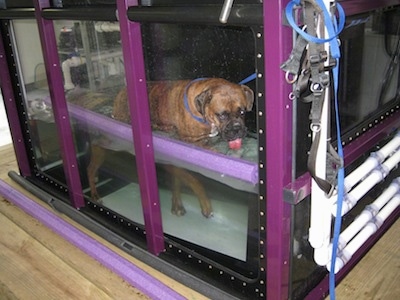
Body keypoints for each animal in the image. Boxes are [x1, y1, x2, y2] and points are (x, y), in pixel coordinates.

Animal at [89, 77, 255, 218]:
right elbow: (193, 179)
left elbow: (178, 179)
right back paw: (95, 192)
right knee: (90, 169)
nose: (237, 128)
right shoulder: (189, 145)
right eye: (222, 115)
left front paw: (177, 203)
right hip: (104, 145)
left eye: (242, 112)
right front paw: (205, 203)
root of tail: (122, 91)